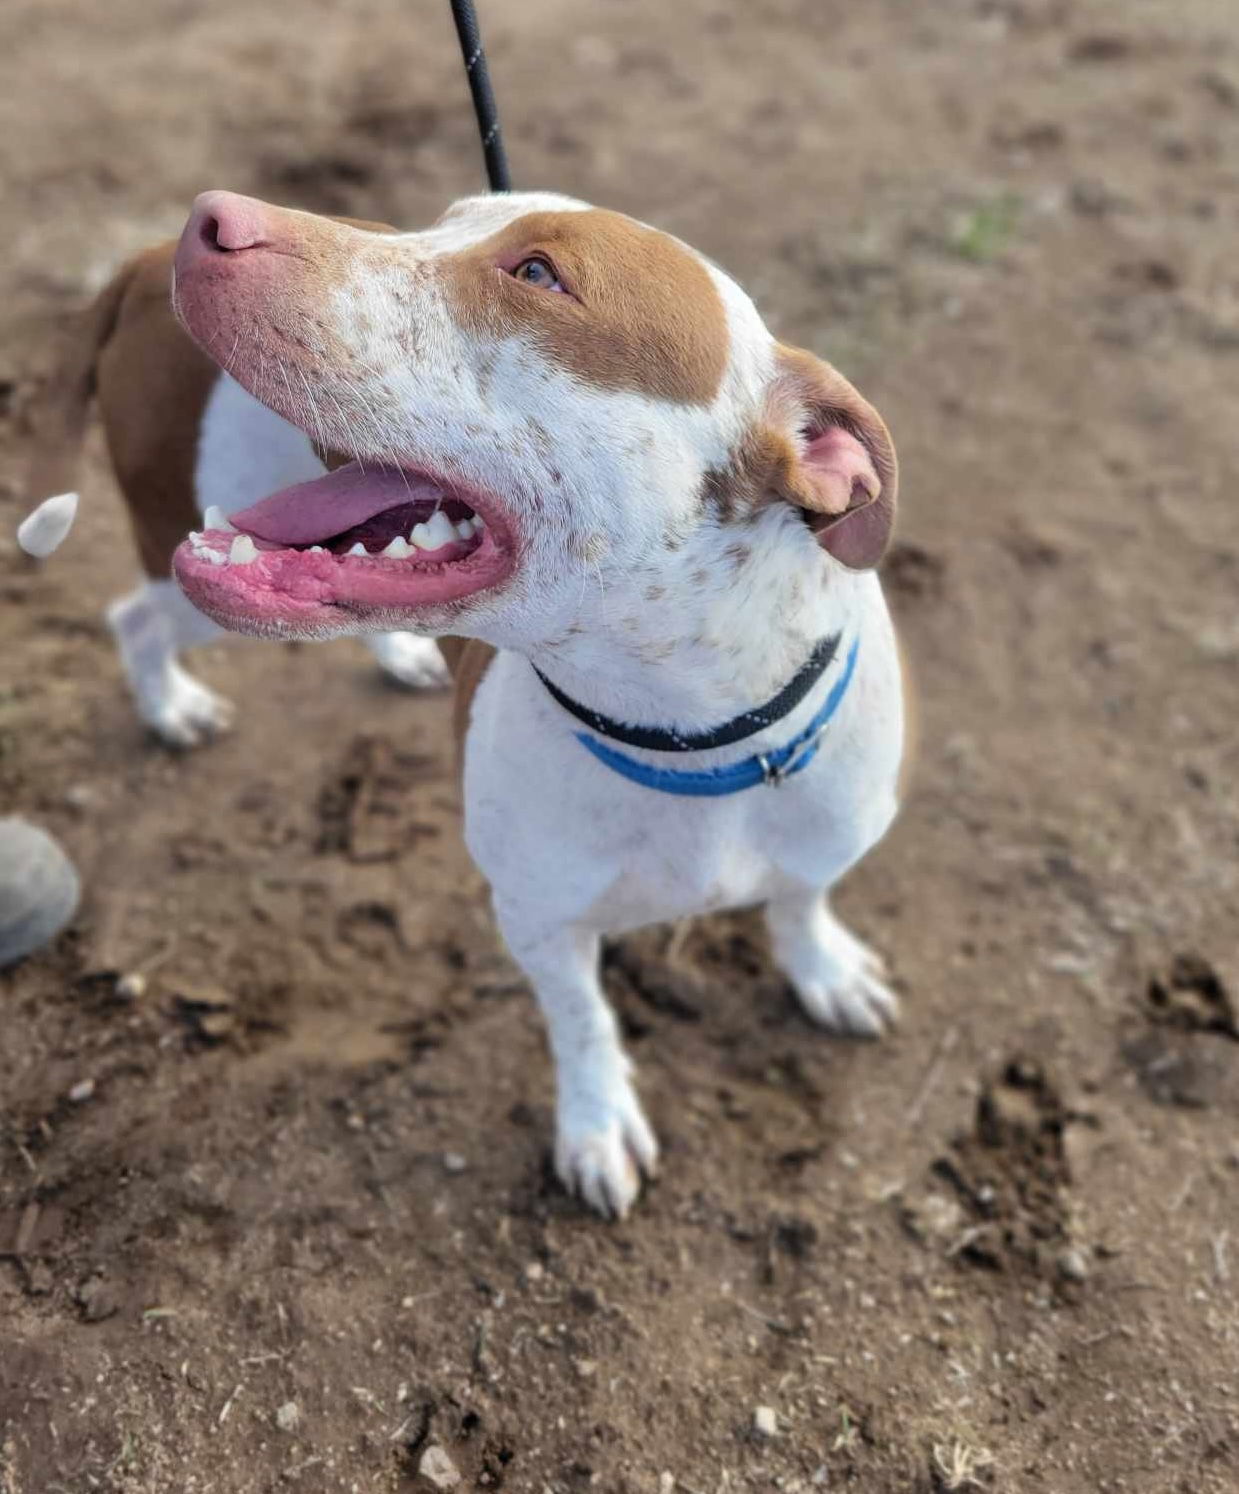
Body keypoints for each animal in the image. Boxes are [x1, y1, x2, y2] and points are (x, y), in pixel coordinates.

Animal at [21, 189, 908, 1213]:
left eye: (537, 275)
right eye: (442, 220)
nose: (211, 218)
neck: (689, 740)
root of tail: (131, 263)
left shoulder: (822, 839)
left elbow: (799, 901)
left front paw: (822, 970)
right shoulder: (537, 922)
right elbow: (583, 1020)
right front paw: (596, 1122)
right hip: (185, 554)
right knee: (134, 618)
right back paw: (170, 707)